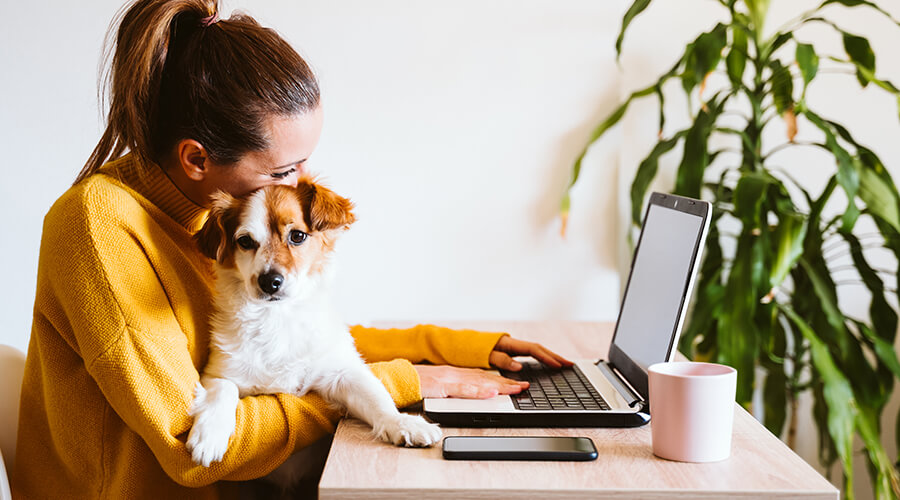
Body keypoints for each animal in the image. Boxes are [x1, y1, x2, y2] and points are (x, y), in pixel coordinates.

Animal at [186, 179, 442, 472]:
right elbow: (221, 391)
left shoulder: (342, 373)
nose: (269, 281)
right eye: (245, 241)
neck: (278, 319)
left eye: (297, 236)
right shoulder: (219, 372)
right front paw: (210, 434)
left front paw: (403, 422)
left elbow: (377, 396)